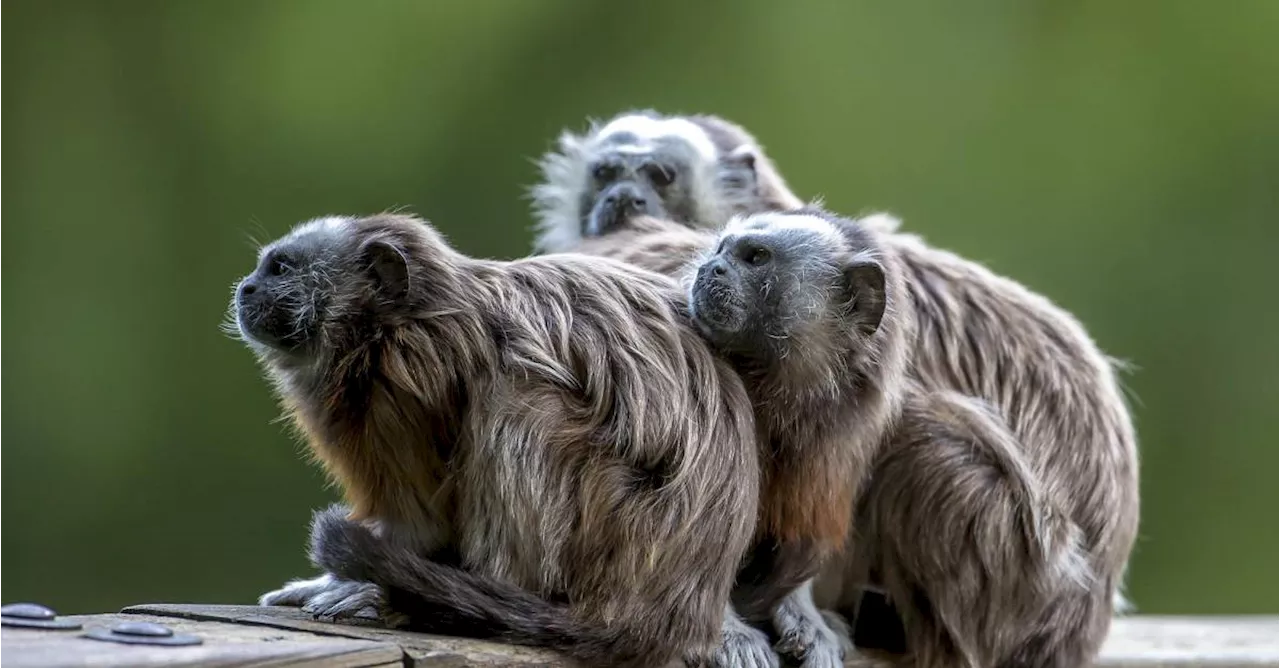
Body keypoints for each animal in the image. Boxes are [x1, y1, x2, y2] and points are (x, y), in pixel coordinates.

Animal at [231, 212, 762, 665]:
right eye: (265, 267)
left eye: (280, 268)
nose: (246, 288)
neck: (399, 323)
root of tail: (680, 605)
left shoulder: (410, 377)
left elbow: (420, 524)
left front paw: (372, 587)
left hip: (619, 523)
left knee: (520, 394)